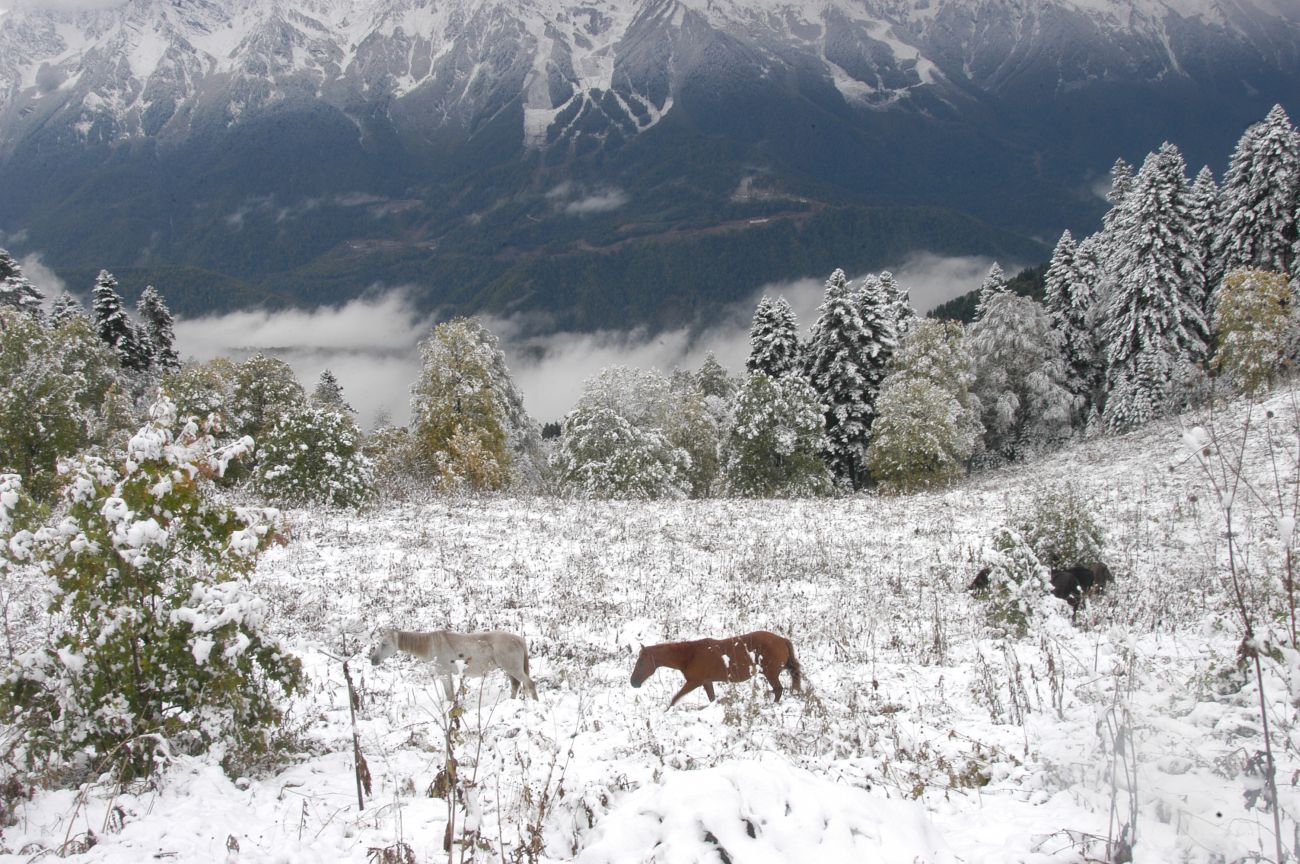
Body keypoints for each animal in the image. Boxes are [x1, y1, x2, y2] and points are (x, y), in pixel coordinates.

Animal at [371, 626, 538, 701]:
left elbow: (449, 696)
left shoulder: (444, 675)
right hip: (509, 669)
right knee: (515, 685)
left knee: (529, 683)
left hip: (513, 668)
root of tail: (518, 639)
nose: (373, 660)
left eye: (384, 644)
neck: (432, 645)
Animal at [629, 626, 800, 706]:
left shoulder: (694, 682)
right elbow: (711, 699)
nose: (633, 682)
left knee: (778, 690)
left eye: (641, 662)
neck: (690, 655)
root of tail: (782, 640)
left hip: (771, 673)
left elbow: (674, 699)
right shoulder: (707, 682)